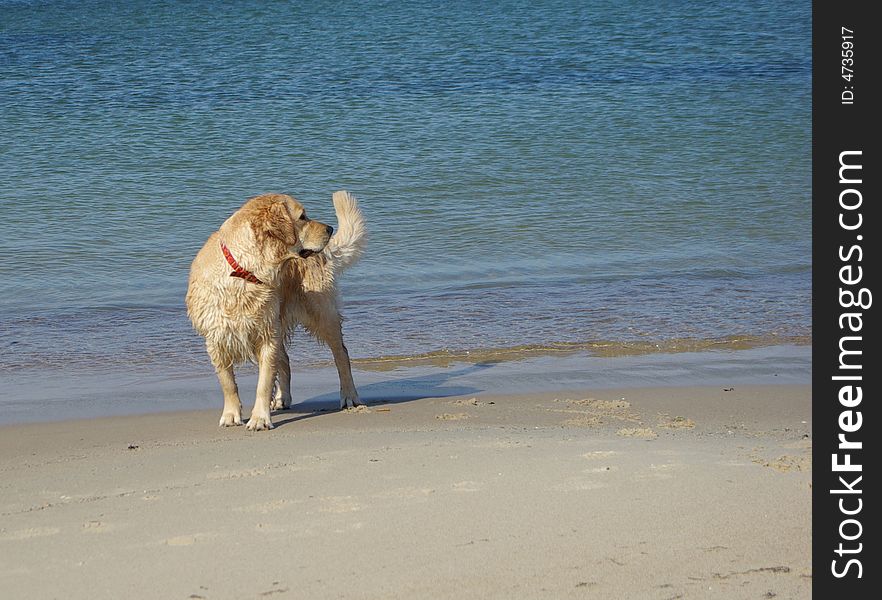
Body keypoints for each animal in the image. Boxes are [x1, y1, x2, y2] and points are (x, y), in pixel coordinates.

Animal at [186, 190, 364, 428]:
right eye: (302, 217)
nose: (329, 228)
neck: (244, 271)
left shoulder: (267, 335)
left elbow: (264, 382)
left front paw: (259, 419)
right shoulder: (216, 338)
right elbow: (228, 382)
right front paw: (231, 415)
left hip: (321, 313)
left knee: (341, 354)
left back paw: (349, 396)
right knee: (286, 361)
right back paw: (282, 398)